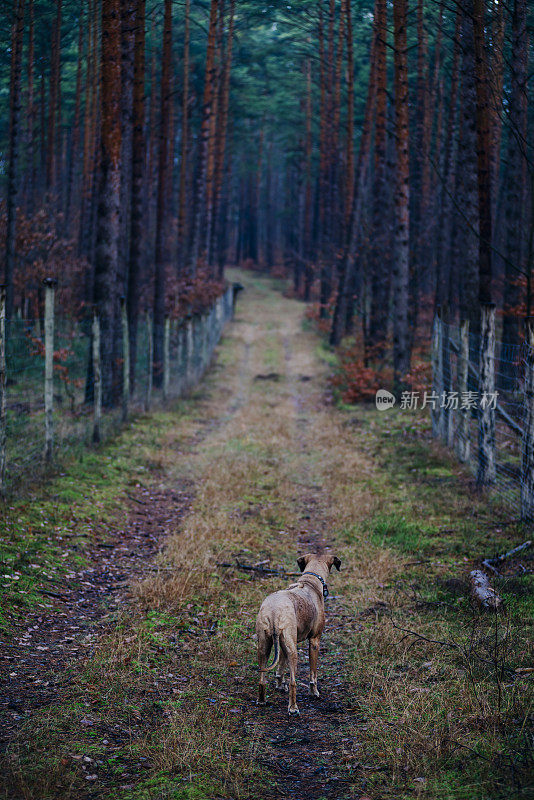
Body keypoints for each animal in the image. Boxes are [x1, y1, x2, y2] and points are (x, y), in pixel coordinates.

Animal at [256, 552, 342, 716]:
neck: (310, 582)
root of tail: (274, 611)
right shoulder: (314, 641)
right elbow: (313, 674)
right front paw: (314, 692)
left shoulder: (284, 644)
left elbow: (280, 667)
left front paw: (279, 685)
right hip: (293, 651)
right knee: (293, 682)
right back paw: (293, 707)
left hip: (265, 646)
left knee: (262, 679)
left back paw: (262, 700)